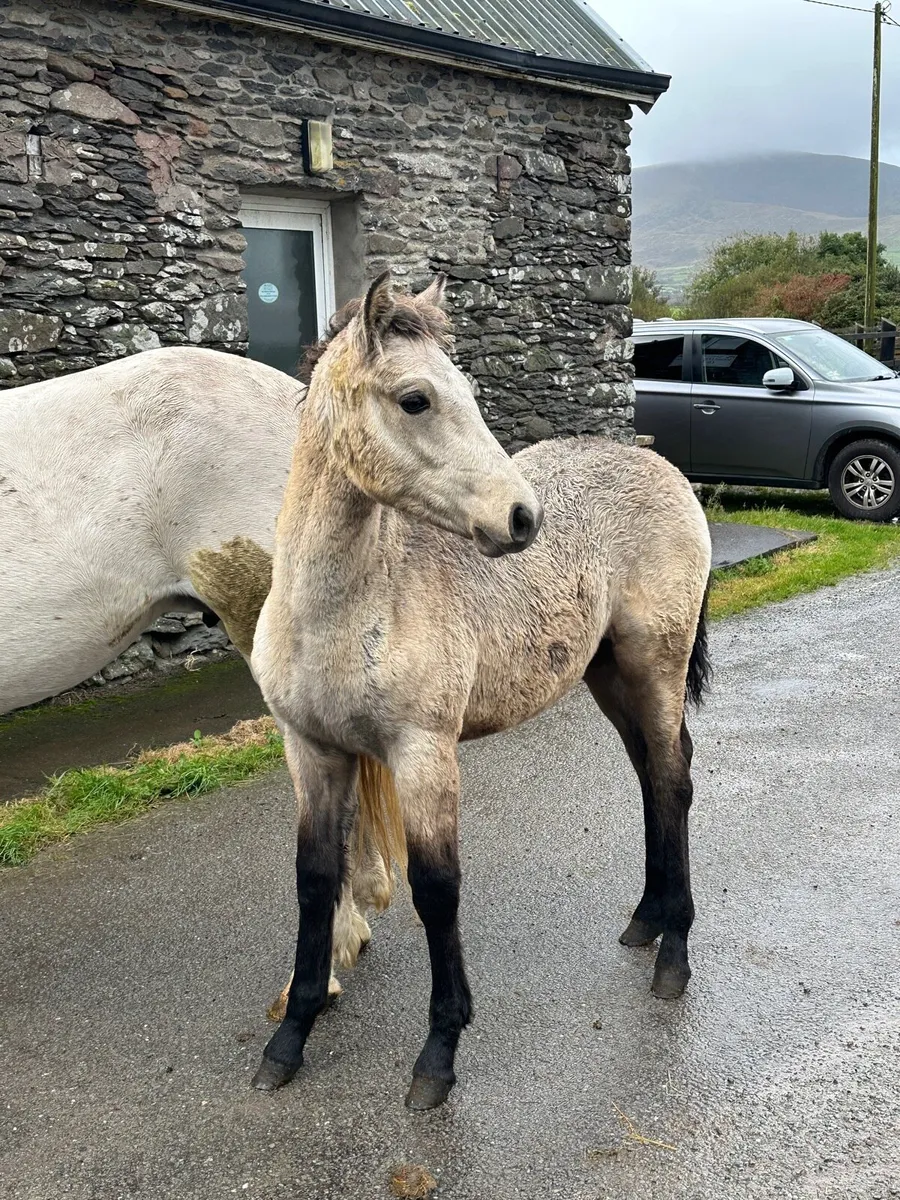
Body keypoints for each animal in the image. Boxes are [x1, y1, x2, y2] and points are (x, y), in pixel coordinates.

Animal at [249, 272, 712, 1111]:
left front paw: (438, 1053)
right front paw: (290, 1038)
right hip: (609, 677)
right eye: (416, 399)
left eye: (466, 388)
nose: (523, 518)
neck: (342, 609)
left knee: (672, 780)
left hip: (655, 668)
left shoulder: (423, 754)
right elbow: (314, 883)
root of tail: (665, 472)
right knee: (651, 780)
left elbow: (438, 889)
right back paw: (646, 920)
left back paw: (674, 957)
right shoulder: (313, 752)